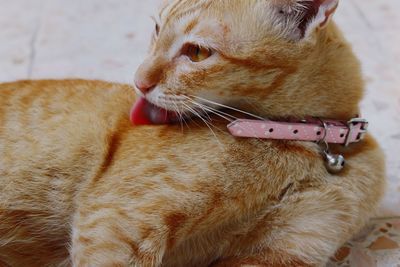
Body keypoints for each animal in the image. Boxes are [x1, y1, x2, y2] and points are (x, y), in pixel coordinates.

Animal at [1, 0, 386, 267]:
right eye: (157, 29)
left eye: (197, 52)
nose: (138, 81)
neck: (308, 142)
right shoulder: (119, 220)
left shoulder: (284, 248)